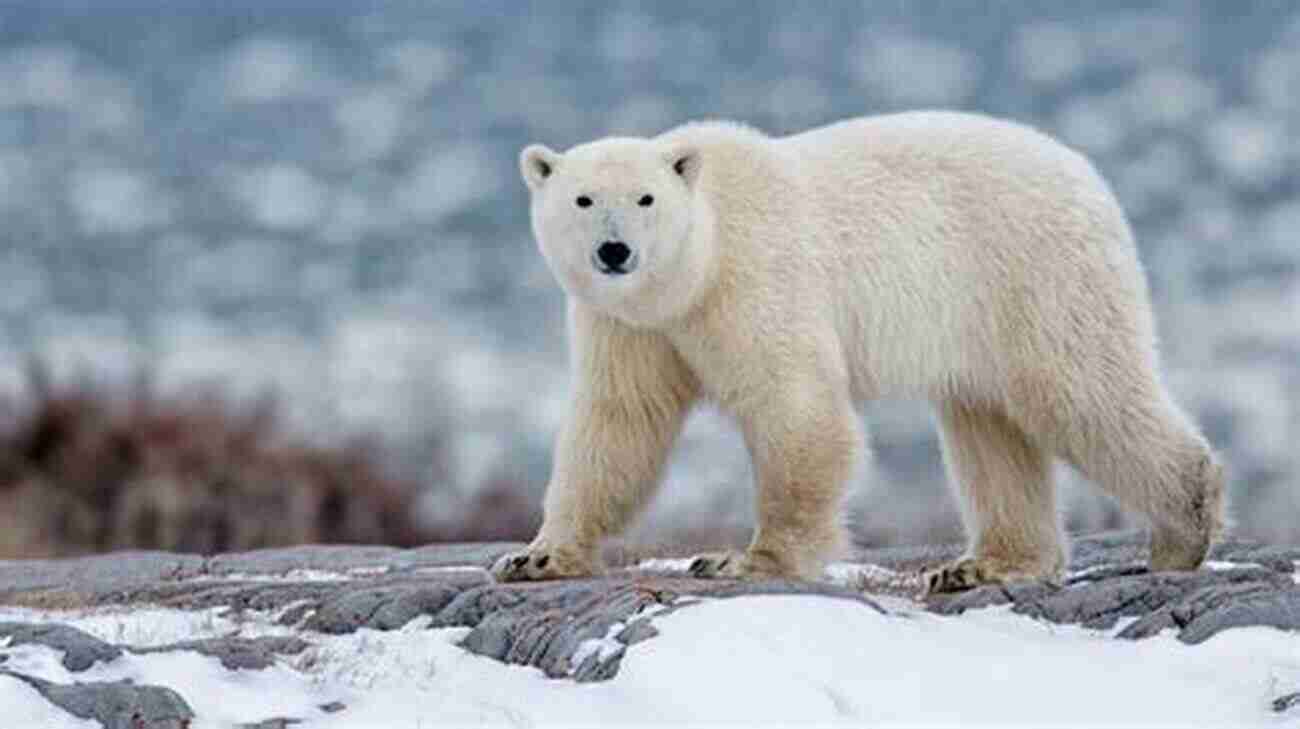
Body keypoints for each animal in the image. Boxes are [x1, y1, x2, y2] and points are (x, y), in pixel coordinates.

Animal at [491, 112, 1222, 592]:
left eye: (645, 198)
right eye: (583, 199)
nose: (615, 251)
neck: (697, 266)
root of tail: (1090, 176)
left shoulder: (756, 279)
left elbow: (796, 408)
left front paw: (745, 560)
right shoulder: (627, 323)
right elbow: (619, 422)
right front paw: (537, 556)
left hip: (1034, 272)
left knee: (1080, 392)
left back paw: (1182, 529)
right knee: (989, 429)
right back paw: (984, 563)